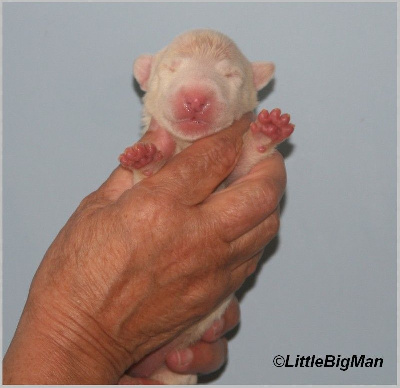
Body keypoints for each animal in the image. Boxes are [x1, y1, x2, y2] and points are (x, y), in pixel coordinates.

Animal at [119, 28, 294, 384]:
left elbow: (247, 161)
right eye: (170, 68)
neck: (189, 145)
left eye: (231, 75)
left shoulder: (235, 174)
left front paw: (267, 132)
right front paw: (144, 160)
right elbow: (144, 178)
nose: (197, 98)